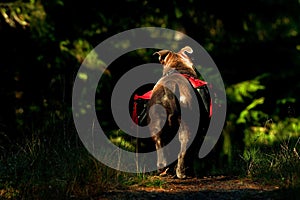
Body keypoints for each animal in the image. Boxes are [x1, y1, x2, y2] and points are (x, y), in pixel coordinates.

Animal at [148, 46, 211, 179]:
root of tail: (171, 86)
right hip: (188, 124)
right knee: (184, 150)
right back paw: (181, 173)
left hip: (156, 123)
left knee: (160, 144)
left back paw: (164, 169)